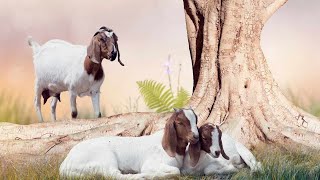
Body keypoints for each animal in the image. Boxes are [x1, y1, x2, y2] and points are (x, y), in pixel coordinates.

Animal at [59, 107, 199, 179]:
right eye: (180, 122)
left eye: (196, 120)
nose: (196, 136)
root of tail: (65, 164)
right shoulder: (151, 164)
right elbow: (176, 171)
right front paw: (151, 175)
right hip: (105, 159)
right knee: (114, 175)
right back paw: (140, 176)